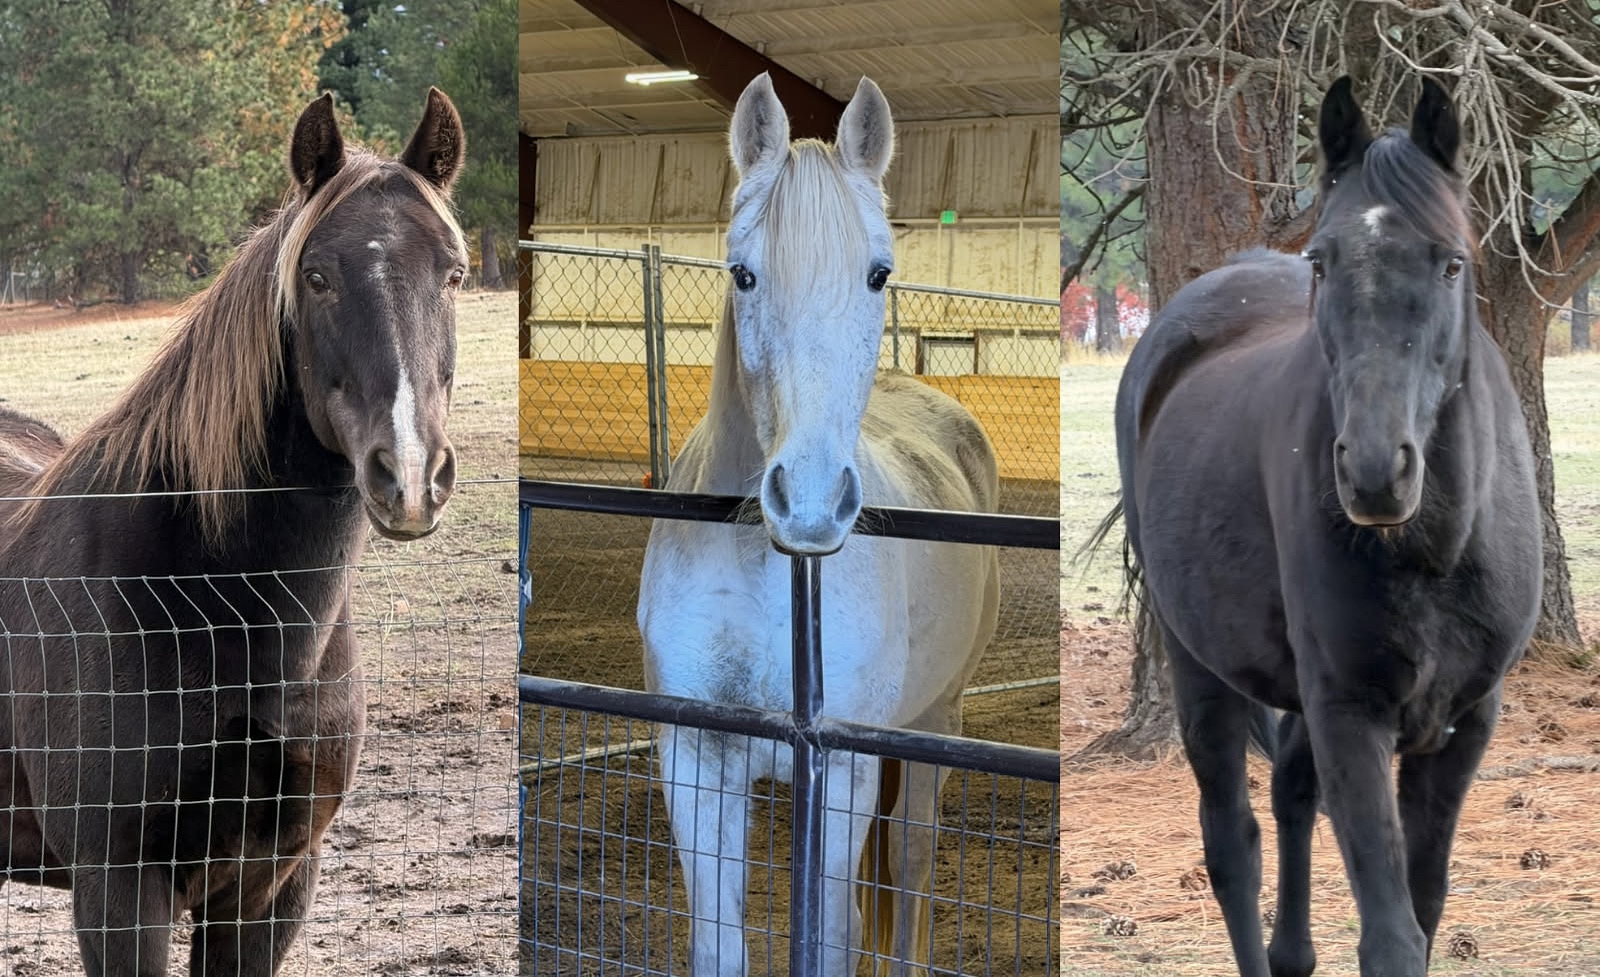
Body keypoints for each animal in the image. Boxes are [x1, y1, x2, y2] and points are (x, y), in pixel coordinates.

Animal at [636, 73, 1001, 976]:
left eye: (878, 274)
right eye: (742, 273)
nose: (806, 501)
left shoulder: (841, 769)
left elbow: (833, 936)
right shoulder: (696, 762)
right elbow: (721, 945)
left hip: (934, 724)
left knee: (909, 867)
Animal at [1112, 76, 1540, 977]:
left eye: (1452, 261)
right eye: (1322, 260)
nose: (1375, 471)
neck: (1435, 549)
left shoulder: (1465, 722)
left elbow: (1425, 906)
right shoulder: (1350, 711)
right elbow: (1391, 935)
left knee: (1289, 796)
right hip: (1197, 661)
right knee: (1232, 843)